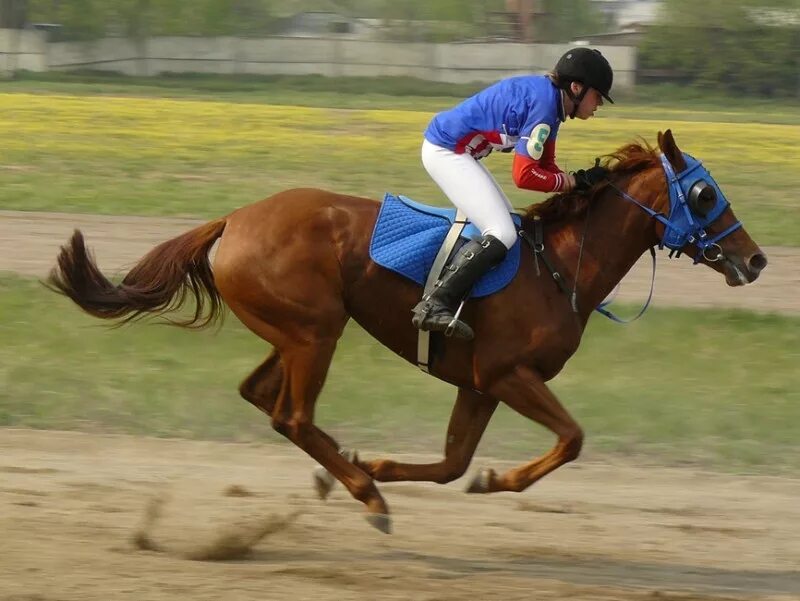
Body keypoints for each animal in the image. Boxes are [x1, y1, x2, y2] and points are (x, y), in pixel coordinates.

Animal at [47, 130, 764, 528]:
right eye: (704, 193)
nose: (756, 259)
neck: (558, 264)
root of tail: (234, 218)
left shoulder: (479, 383)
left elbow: (452, 464)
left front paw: (397, 465)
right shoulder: (509, 374)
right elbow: (572, 438)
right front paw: (491, 480)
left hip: (297, 331)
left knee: (262, 396)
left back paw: (346, 473)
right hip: (316, 332)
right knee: (291, 416)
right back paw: (364, 494)